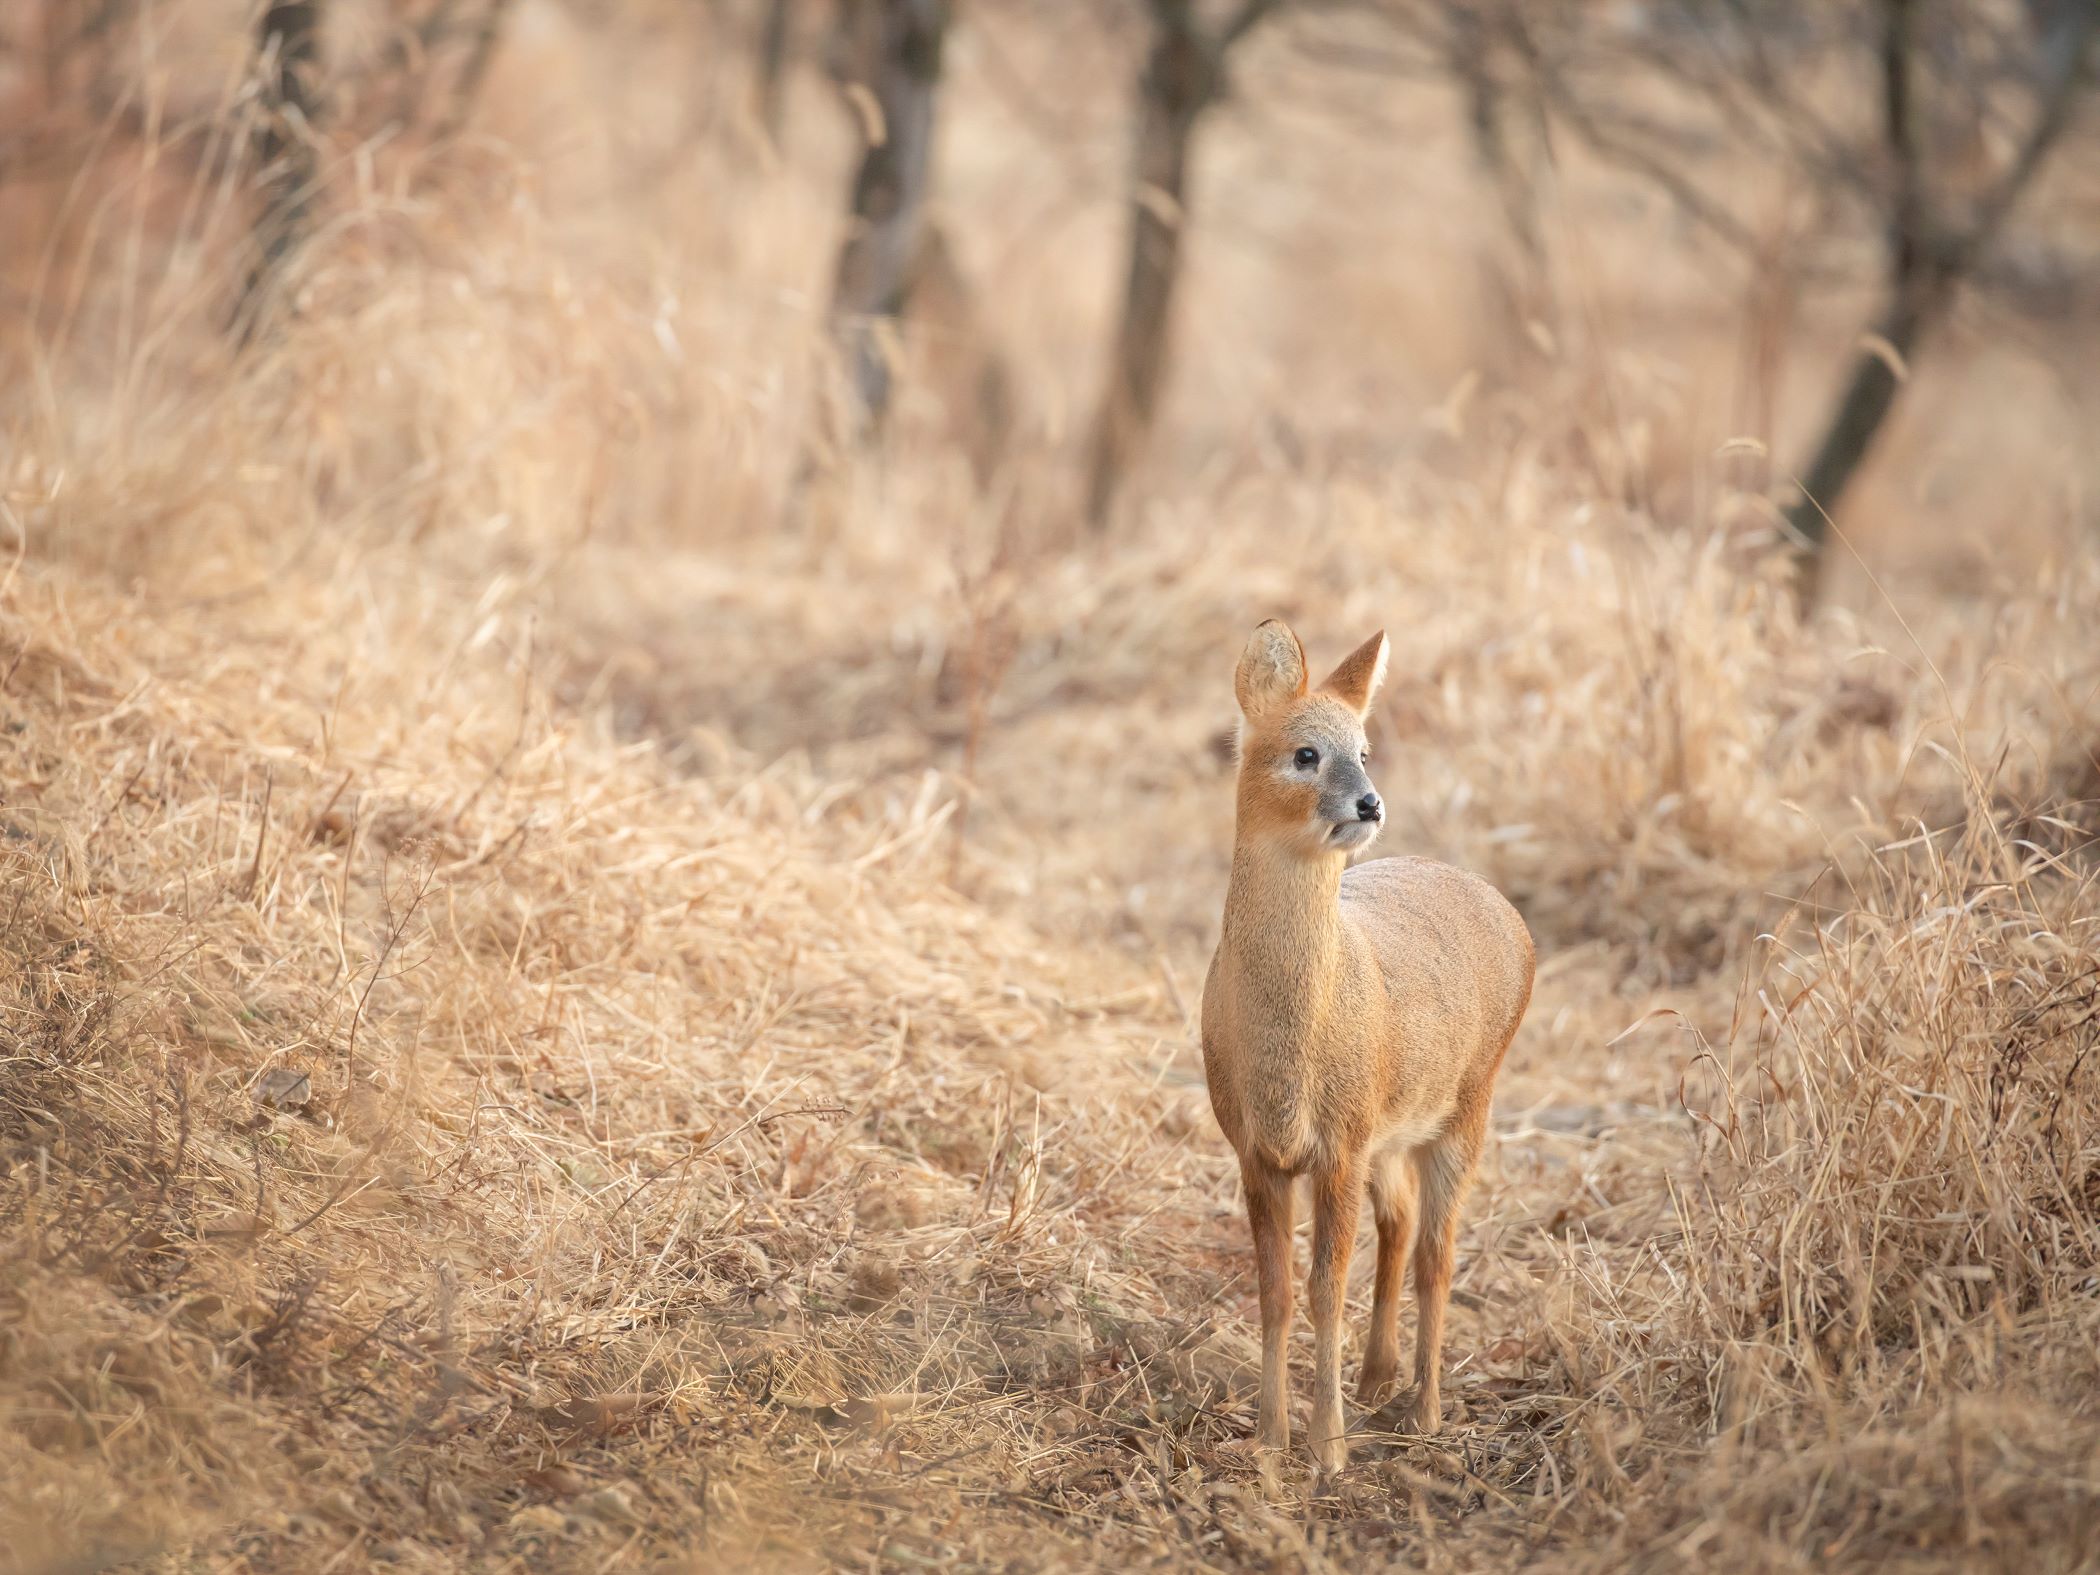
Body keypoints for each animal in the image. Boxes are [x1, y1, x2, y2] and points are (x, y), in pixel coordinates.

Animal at [1209, 621, 1537, 1478]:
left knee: (1437, 1251)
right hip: (1392, 1129)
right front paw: (1270, 1437)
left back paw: (1424, 1408)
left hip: (1468, 1107)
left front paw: (1327, 1450)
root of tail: (1507, 912)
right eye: (1305, 752)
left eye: (1364, 746)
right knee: (1401, 1220)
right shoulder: (1256, 1149)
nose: (1368, 801)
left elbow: (1327, 1288)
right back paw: (1379, 1375)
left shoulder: (1338, 1144)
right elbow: (1277, 1289)